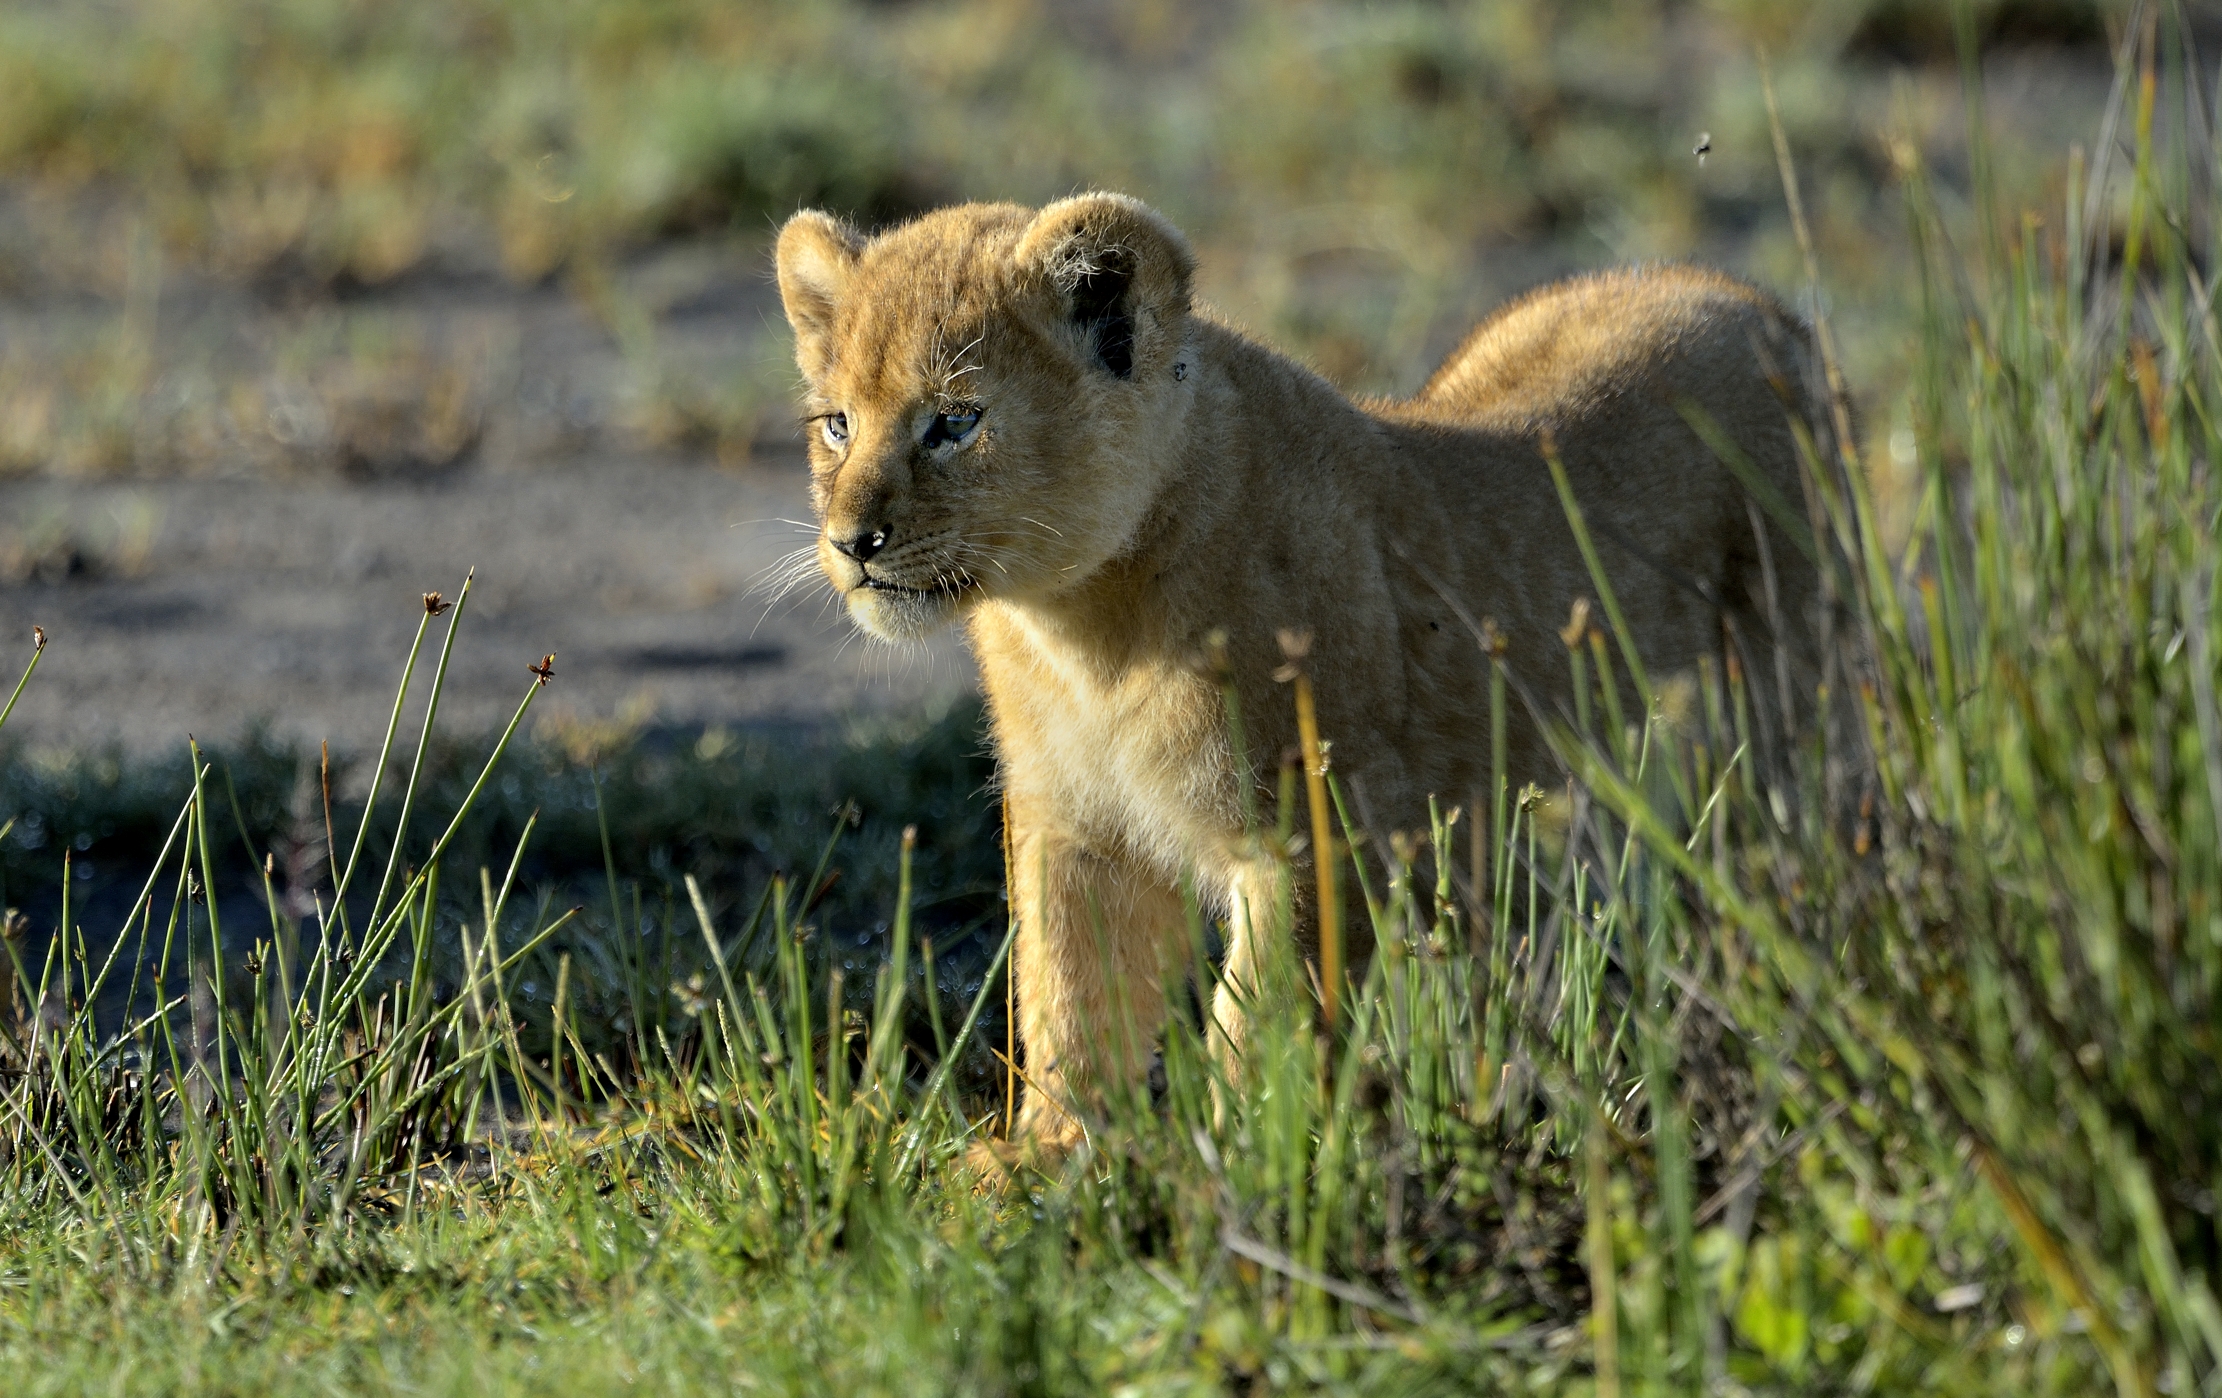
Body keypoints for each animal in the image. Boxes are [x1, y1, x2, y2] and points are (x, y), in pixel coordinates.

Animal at [774, 193, 1828, 1159]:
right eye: (838, 425)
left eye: (954, 422)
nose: (852, 542)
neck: (1082, 630)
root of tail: (1748, 297)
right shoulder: (1073, 826)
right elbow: (1068, 999)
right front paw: (1045, 1168)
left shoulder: (1312, 832)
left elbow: (1262, 1027)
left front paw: (1239, 1174)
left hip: (1797, 703)